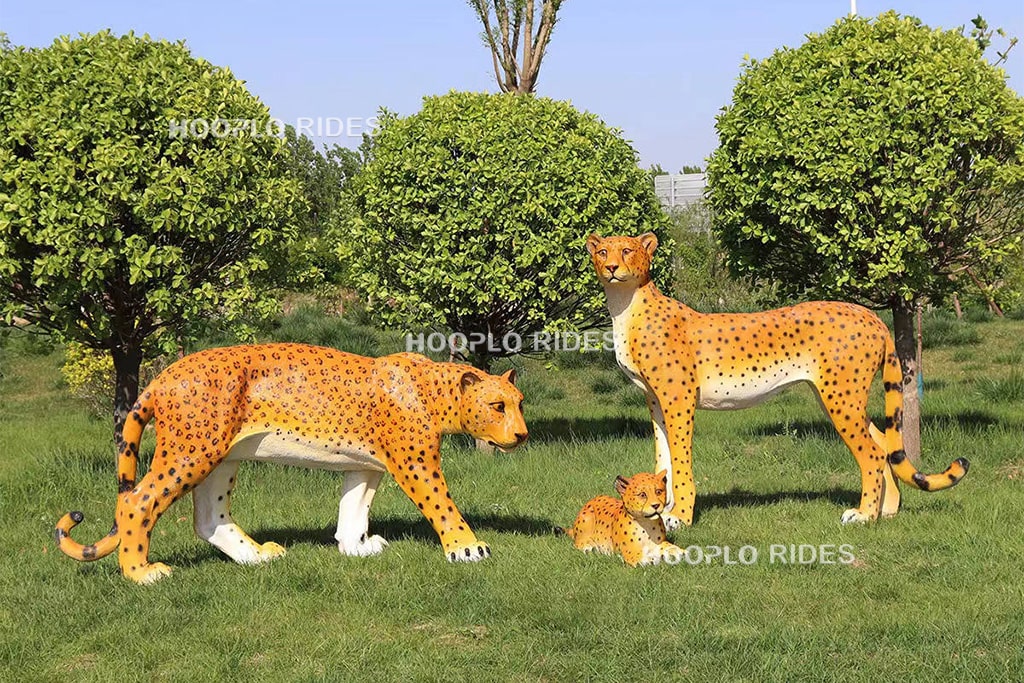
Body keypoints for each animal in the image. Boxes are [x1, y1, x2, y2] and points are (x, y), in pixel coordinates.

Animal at [55, 344, 527, 584]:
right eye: (497, 405)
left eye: (519, 403)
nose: (522, 435)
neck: (434, 387)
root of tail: (163, 375)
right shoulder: (415, 463)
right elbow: (442, 504)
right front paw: (467, 547)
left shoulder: (365, 465)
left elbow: (354, 509)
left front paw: (355, 546)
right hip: (192, 452)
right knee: (137, 502)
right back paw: (142, 573)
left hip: (221, 458)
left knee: (209, 518)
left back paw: (255, 556)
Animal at [586, 232, 969, 529]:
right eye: (602, 251)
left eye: (628, 250)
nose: (612, 268)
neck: (627, 305)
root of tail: (867, 313)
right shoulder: (655, 400)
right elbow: (663, 457)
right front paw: (658, 509)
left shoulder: (678, 400)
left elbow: (680, 461)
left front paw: (679, 515)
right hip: (834, 396)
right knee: (882, 444)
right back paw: (886, 512)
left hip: (840, 398)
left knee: (873, 453)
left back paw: (864, 515)